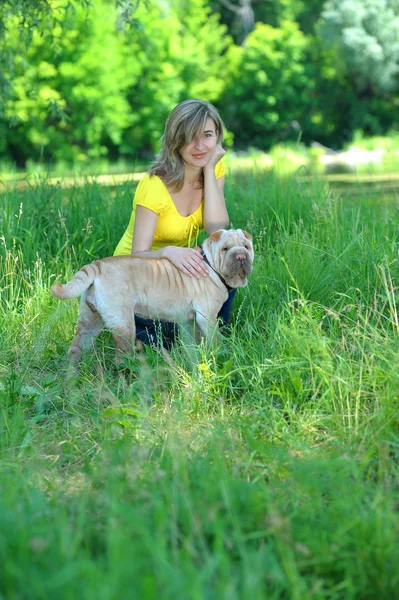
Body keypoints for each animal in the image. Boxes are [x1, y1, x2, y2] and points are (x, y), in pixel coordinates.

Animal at [51, 229, 255, 360]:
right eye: (225, 249)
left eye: (246, 247)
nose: (240, 256)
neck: (210, 264)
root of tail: (97, 266)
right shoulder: (207, 317)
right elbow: (216, 339)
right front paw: (222, 354)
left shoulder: (195, 320)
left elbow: (199, 340)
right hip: (123, 324)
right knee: (121, 356)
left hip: (90, 319)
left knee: (75, 349)